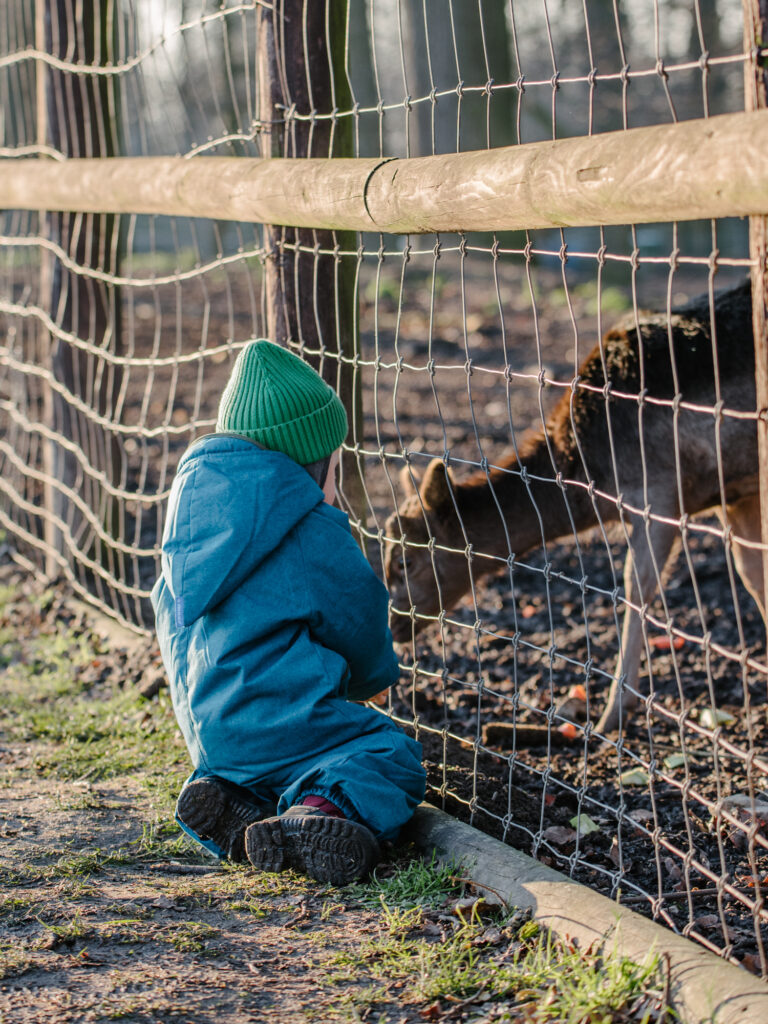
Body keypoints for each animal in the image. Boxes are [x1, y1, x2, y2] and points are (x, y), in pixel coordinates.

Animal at [385, 280, 768, 737]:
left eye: (405, 562)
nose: (394, 623)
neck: (592, 474)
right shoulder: (735, 494)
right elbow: (753, 575)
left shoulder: (659, 494)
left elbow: (636, 587)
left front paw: (612, 713)